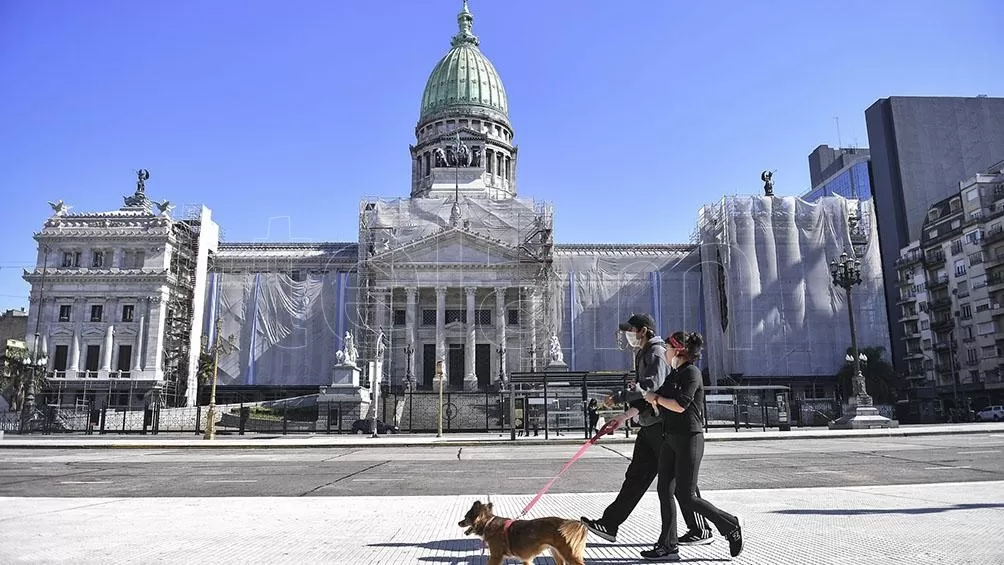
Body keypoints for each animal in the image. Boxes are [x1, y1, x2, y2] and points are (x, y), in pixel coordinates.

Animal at [457, 501, 586, 561]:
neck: (488, 523)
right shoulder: (526, 559)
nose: (458, 523)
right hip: (555, 552)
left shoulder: (496, 556)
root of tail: (569, 522)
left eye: (465, 517)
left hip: (569, 554)